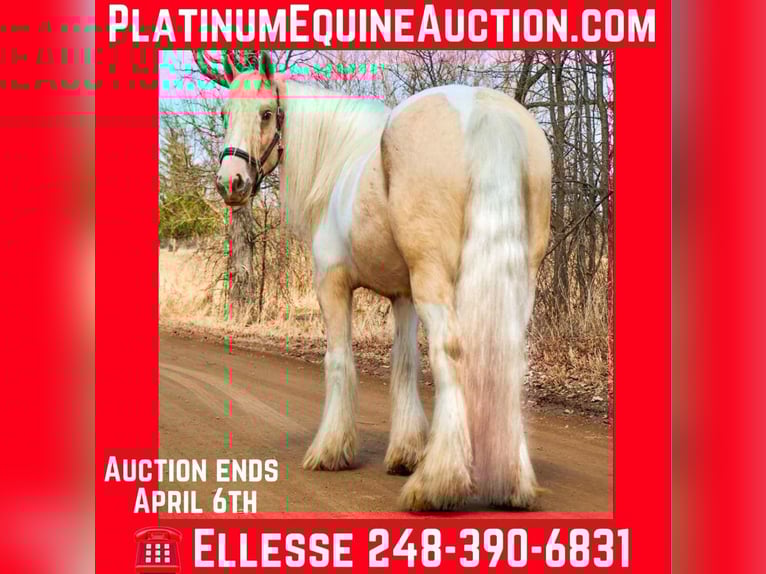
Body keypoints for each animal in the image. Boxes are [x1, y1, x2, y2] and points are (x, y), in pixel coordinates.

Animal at [198, 51, 551, 510]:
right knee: (509, 359)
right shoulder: (403, 297)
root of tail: (484, 111)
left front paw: (331, 450)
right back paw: (512, 483)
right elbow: (404, 363)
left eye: (266, 114)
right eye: (225, 113)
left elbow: (338, 361)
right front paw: (405, 452)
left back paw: (436, 483)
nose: (231, 182)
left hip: (435, 279)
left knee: (451, 353)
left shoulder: (333, 286)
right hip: (519, 280)